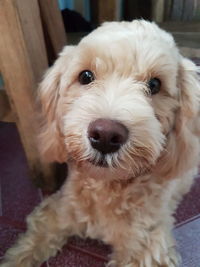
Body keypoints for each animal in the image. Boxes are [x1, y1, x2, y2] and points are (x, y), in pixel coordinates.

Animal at [1, 19, 200, 266]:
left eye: (155, 84)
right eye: (85, 76)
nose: (105, 136)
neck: (107, 186)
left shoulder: (147, 246)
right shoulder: (57, 211)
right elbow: (28, 246)